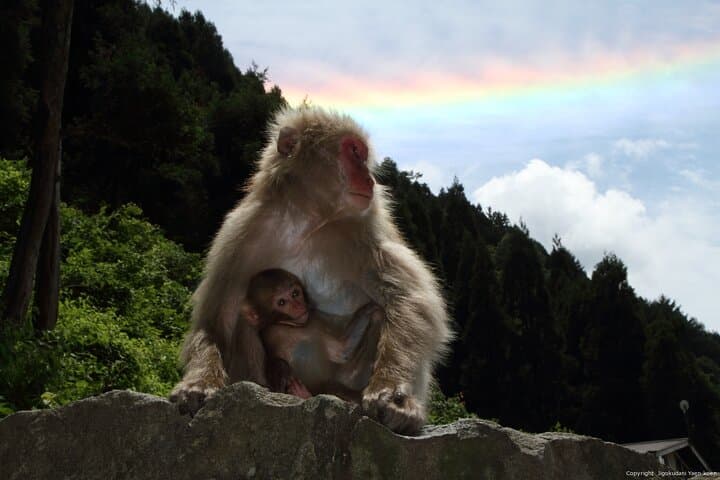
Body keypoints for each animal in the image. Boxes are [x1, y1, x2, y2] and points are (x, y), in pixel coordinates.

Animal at [242, 268, 383, 403]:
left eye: (295, 294)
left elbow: (342, 351)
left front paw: (370, 310)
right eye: (281, 302)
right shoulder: (272, 333)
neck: (291, 326)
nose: (299, 306)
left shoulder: (314, 322)